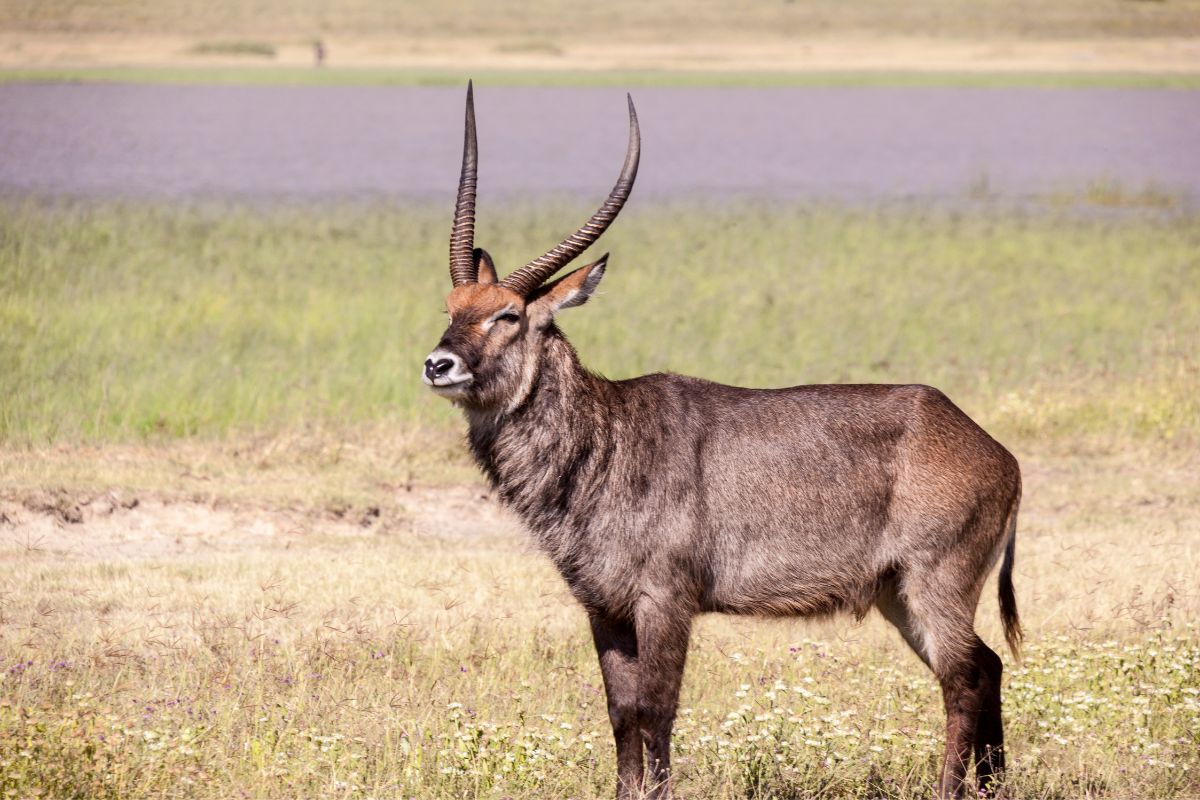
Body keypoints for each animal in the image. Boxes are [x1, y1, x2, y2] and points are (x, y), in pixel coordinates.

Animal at [422, 83, 1022, 799]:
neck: (606, 438)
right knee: (988, 666)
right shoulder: (603, 606)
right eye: (451, 307)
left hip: (936, 580)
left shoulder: (665, 600)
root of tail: (997, 452)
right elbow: (619, 713)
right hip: (897, 593)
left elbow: (655, 710)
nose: (438, 364)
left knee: (964, 679)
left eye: (508, 315)